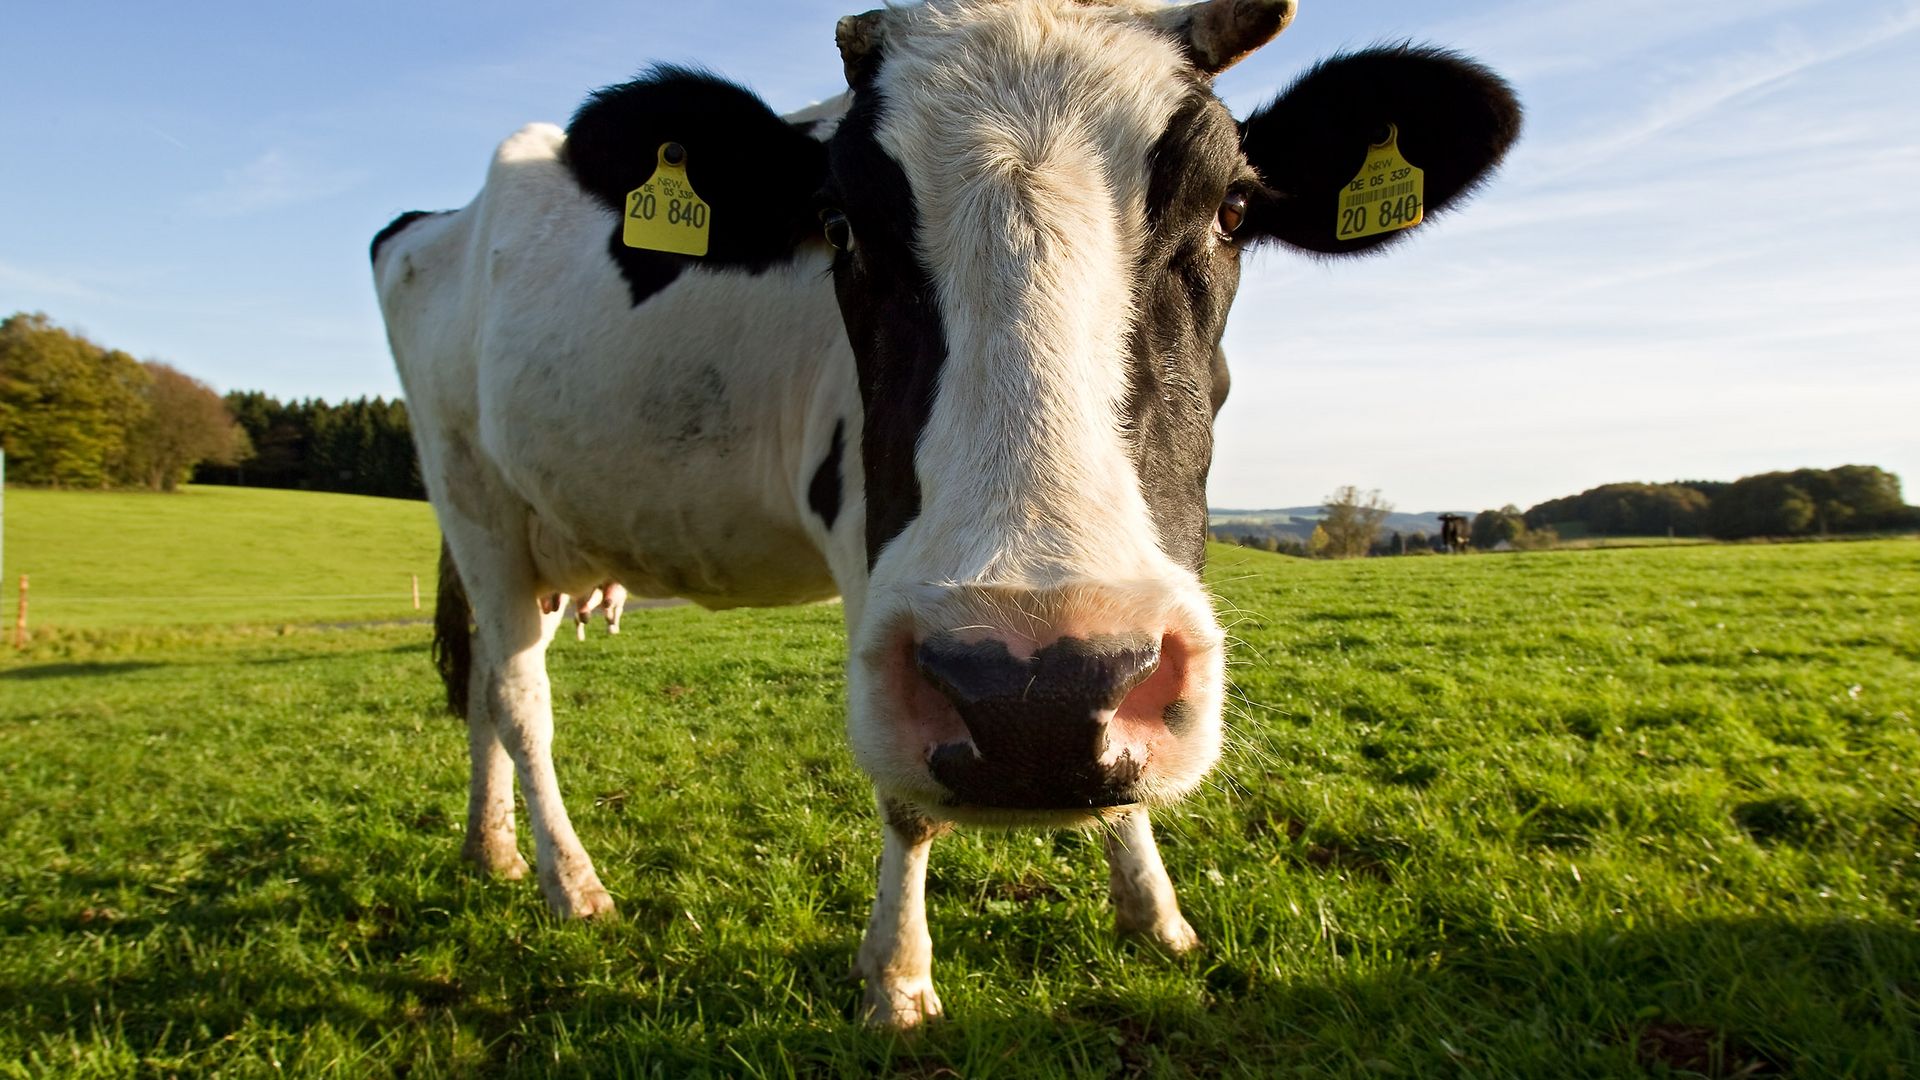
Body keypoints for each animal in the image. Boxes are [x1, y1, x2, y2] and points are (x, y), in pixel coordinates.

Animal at [370, 0, 1512, 1022]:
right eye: (839, 224)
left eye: (1232, 208)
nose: (1038, 693)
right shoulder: (867, 548)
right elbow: (907, 801)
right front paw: (896, 981)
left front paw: (1155, 915)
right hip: (468, 493)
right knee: (518, 695)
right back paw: (570, 884)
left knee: (483, 686)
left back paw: (491, 849)